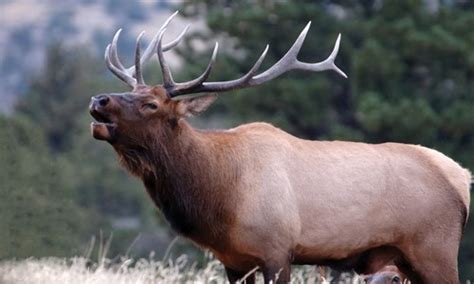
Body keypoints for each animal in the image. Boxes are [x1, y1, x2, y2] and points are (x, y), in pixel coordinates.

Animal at [89, 12, 470, 282]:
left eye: (151, 104)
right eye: (133, 92)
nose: (98, 99)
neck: (219, 195)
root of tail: (462, 178)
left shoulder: (276, 250)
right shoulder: (233, 260)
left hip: (435, 248)